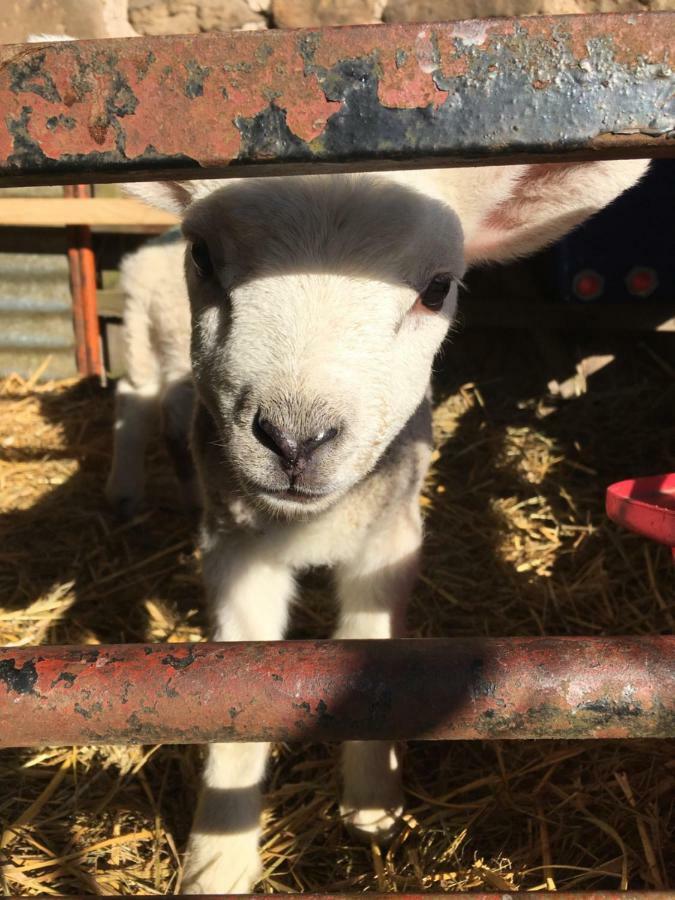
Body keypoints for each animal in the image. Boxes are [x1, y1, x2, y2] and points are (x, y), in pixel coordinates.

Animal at [124, 158, 648, 888]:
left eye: (436, 288)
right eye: (200, 254)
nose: (294, 440)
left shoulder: (391, 541)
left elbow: (374, 665)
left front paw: (372, 806)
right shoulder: (234, 550)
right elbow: (232, 691)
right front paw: (216, 861)